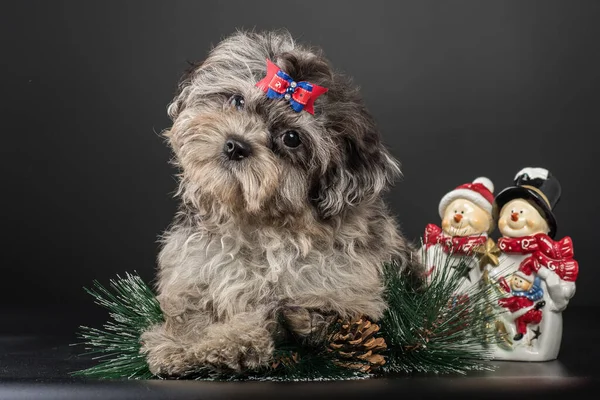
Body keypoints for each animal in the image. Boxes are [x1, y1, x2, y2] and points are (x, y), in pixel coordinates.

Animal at [141, 28, 422, 376]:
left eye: (291, 138)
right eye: (237, 100)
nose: (236, 145)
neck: (254, 222)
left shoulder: (346, 290)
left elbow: (268, 312)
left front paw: (229, 342)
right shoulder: (193, 268)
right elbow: (191, 309)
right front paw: (183, 343)